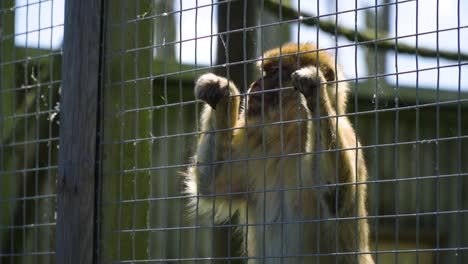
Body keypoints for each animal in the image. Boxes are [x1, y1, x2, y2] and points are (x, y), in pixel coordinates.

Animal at [185, 42, 374, 262]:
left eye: (275, 72)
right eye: (264, 72)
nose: (256, 83)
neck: (289, 135)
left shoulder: (346, 134)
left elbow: (336, 195)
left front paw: (315, 92)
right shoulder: (255, 143)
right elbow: (211, 184)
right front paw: (223, 92)